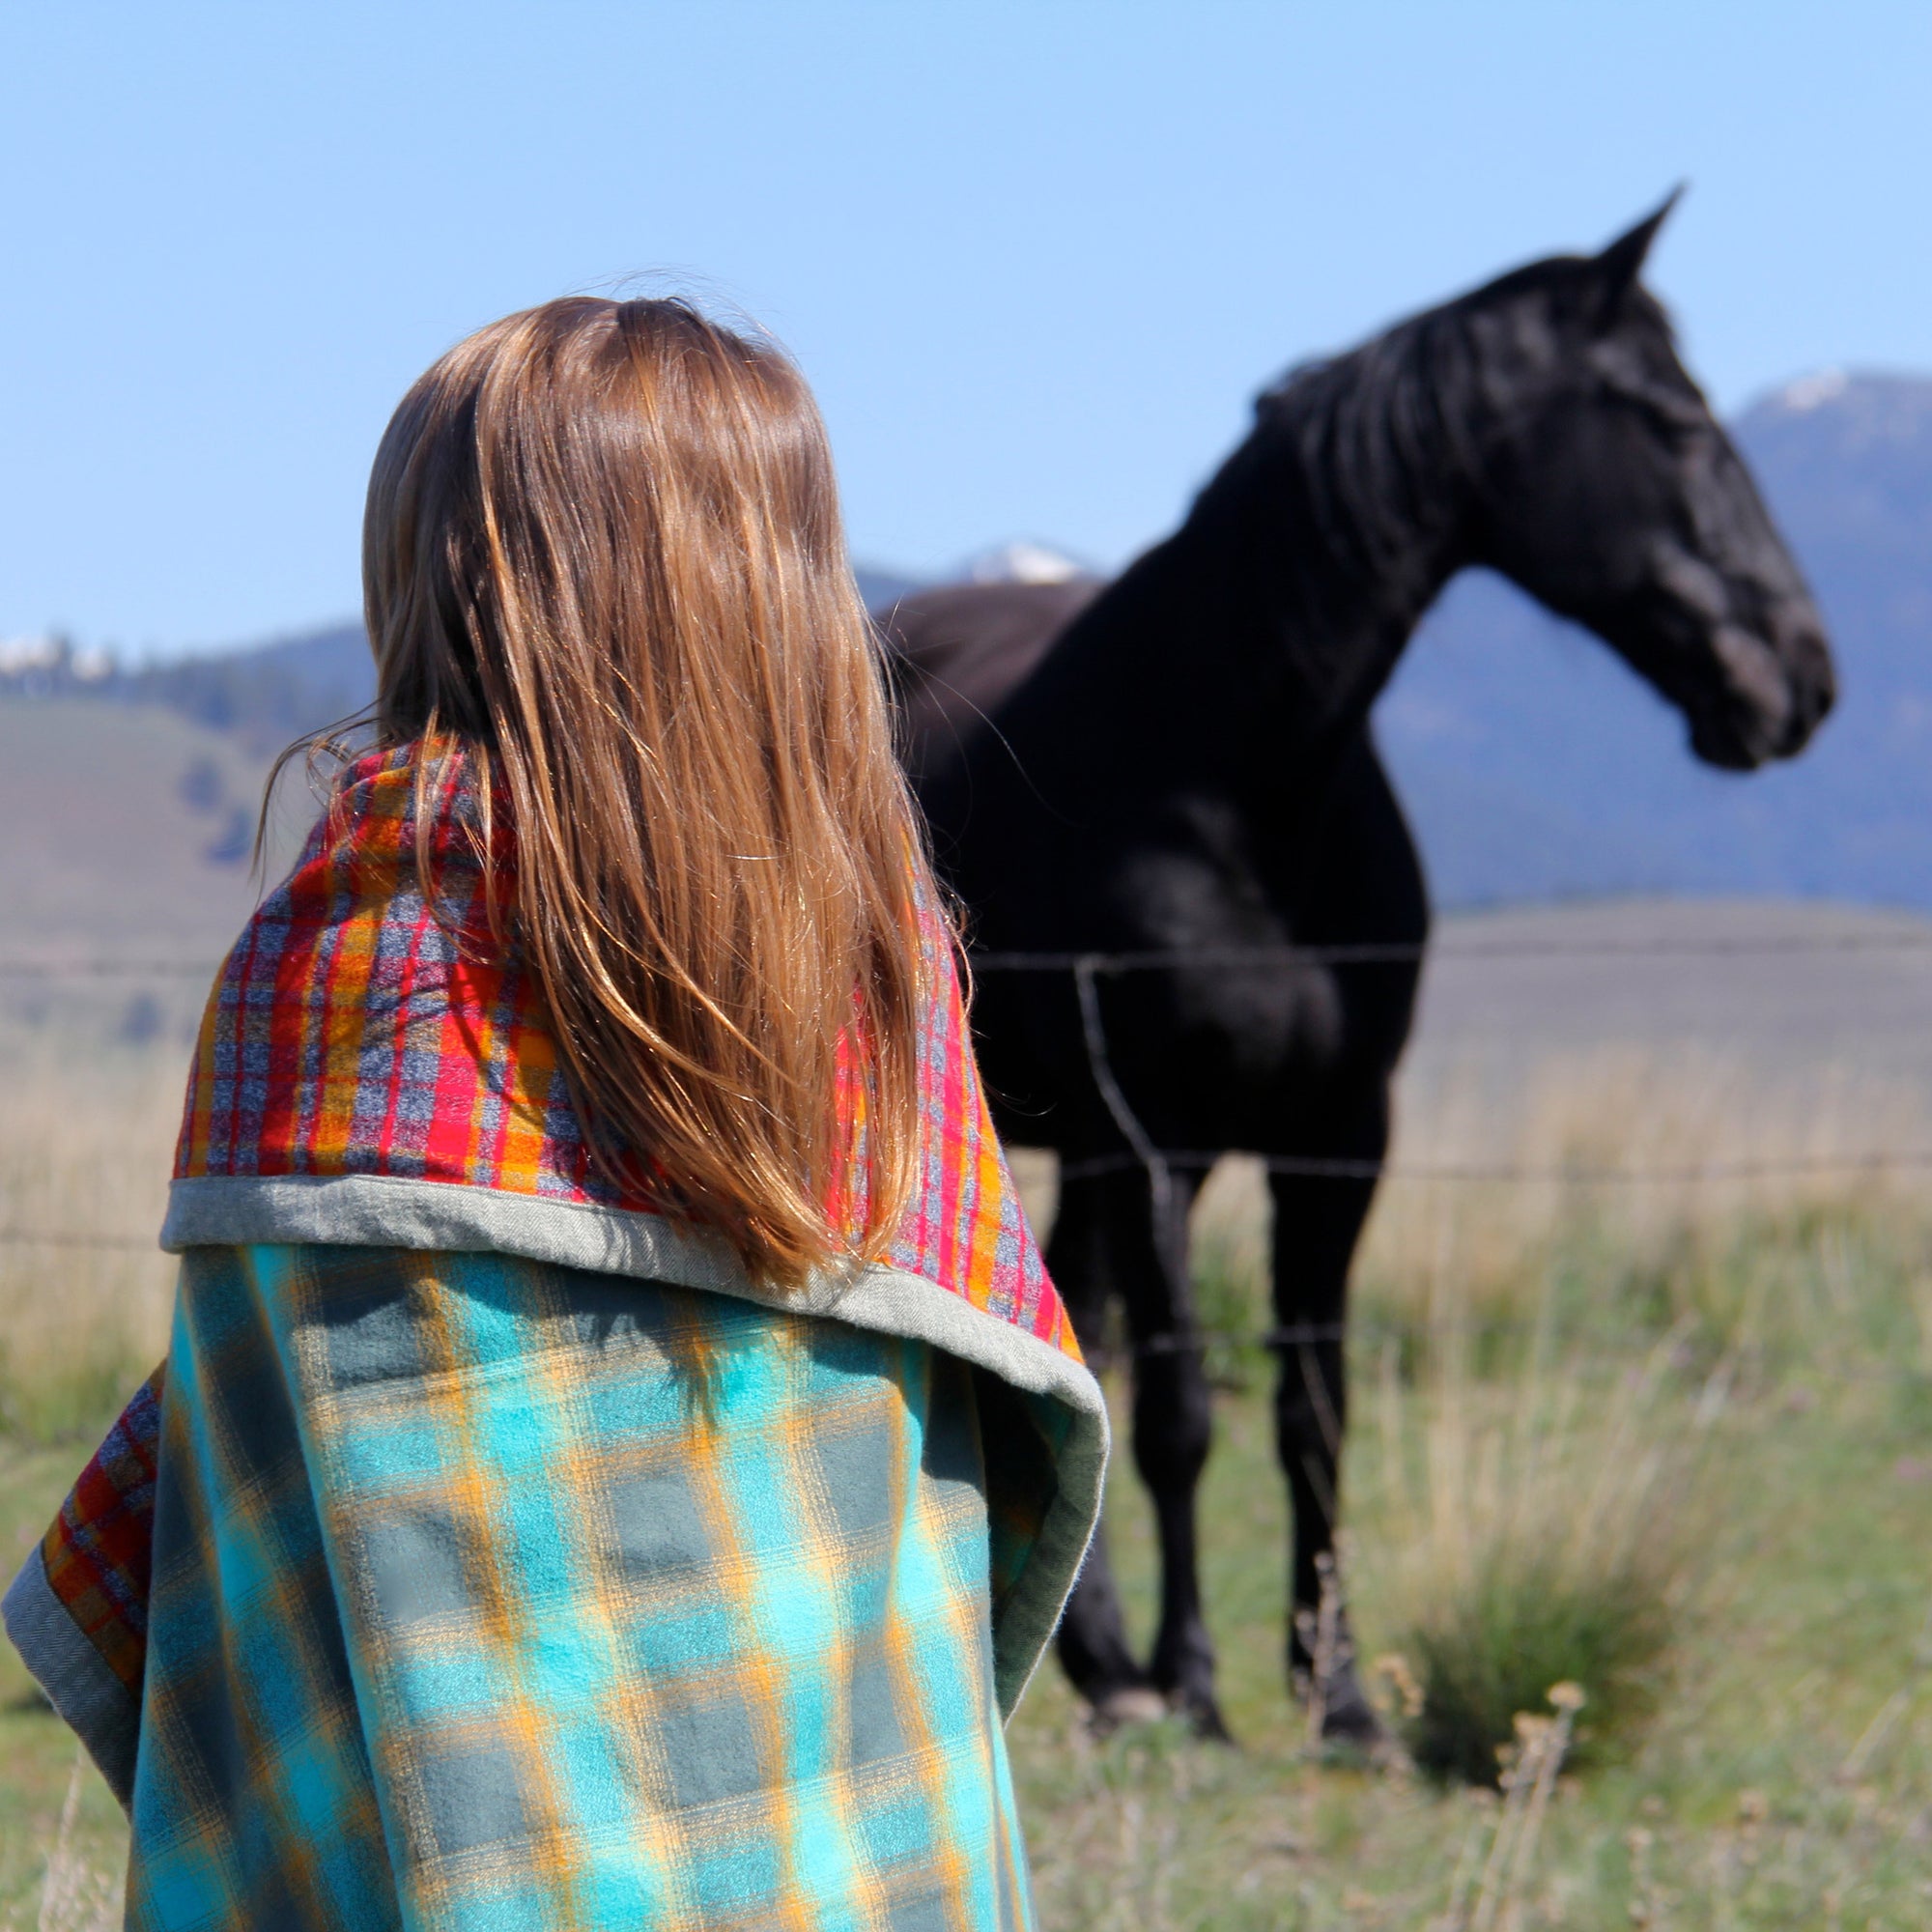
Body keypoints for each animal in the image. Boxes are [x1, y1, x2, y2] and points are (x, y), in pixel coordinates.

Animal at [885, 204, 1832, 1747]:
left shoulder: (1336, 1139)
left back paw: (1101, 1663)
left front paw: (1334, 1694)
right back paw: (1125, 1672)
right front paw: (1199, 1682)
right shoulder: (1157, 1139)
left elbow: (1311, 1412)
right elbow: (1182, 1415)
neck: (1241, 774)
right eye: (1673, 419)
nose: (1800, 677)